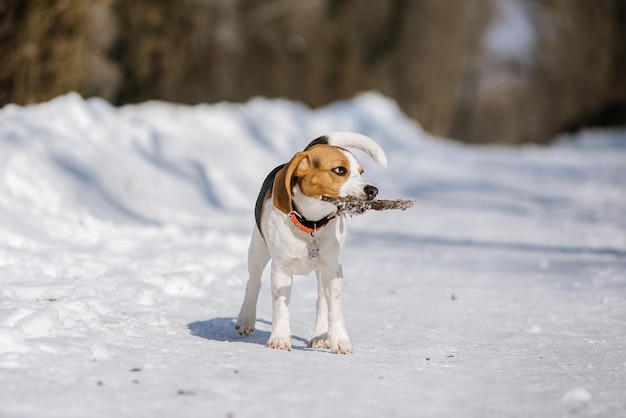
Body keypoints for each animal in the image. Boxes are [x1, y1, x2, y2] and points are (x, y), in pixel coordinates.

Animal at [234, 131, 386, 352]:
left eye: (361, 171)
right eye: (340, 170)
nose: (373, 190)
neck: (311, 224)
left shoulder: (334, 270)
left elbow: (335, 309)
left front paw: (340, 341)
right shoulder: (281, 270)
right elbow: (280, 306)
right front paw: (279, 338)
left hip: (323, 271)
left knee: (322, 300)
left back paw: (320, 335)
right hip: (257, 250)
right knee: (253, 282)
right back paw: (246, 319)